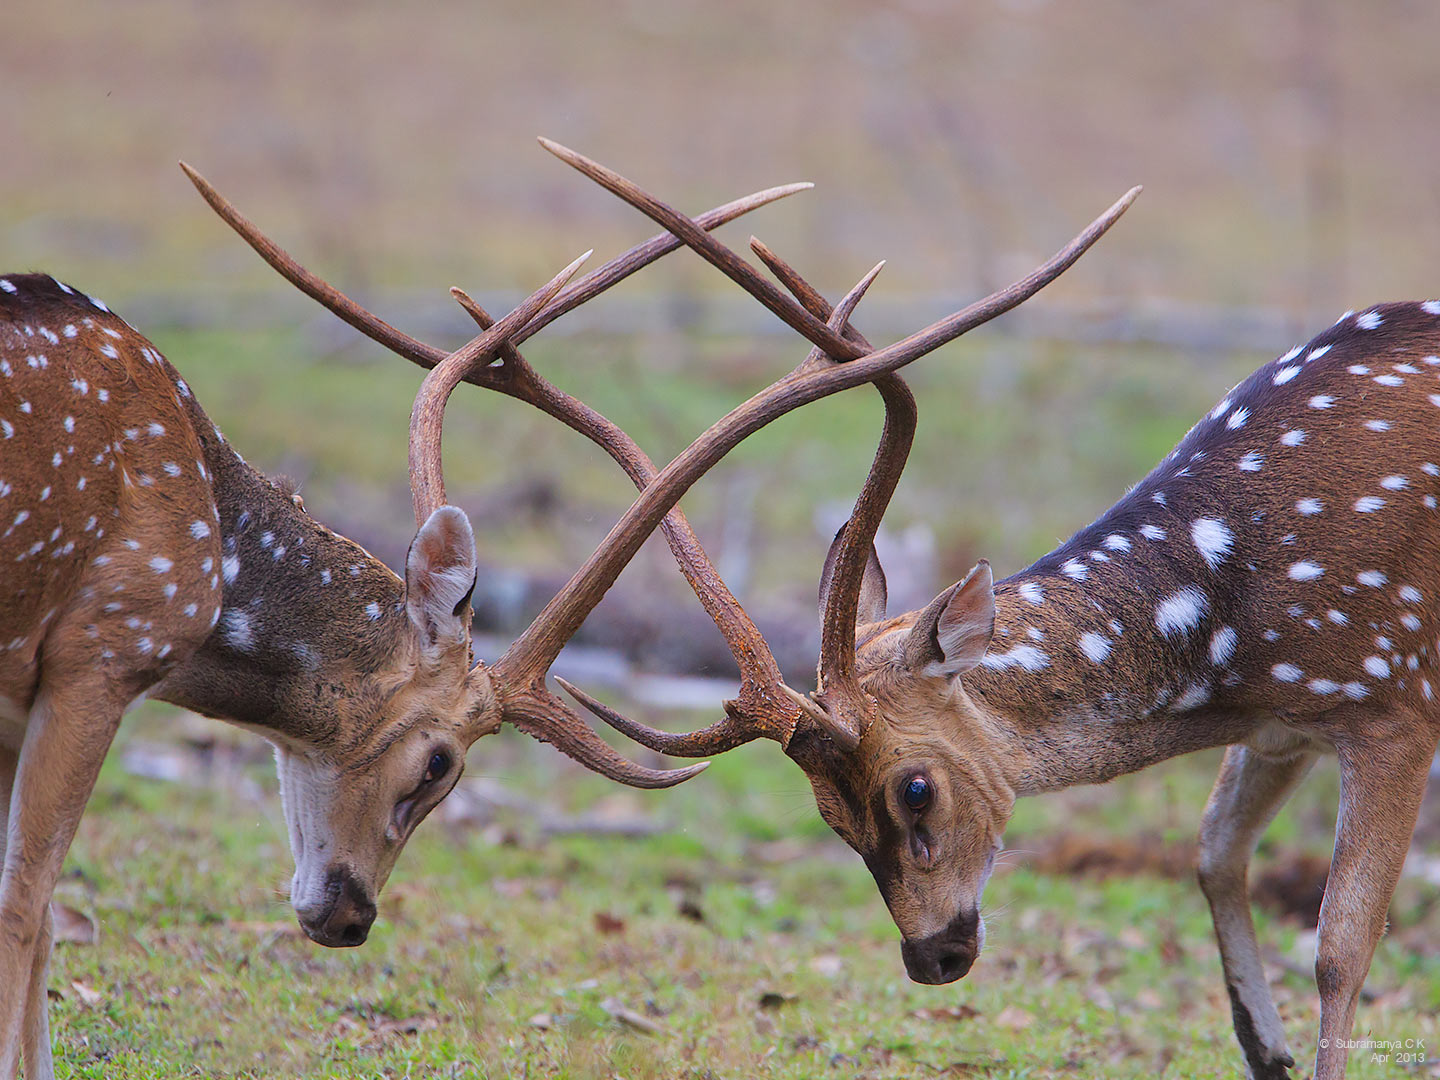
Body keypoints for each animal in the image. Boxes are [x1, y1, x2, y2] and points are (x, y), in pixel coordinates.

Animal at [0, 141, 1133, 1079]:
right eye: (440, 762)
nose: (350, 917)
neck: (205, 543)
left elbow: (39, 906)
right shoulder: (105, 644)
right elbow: (28, 900)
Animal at [536, 144, 1440, 1080]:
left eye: (917, 789)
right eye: (826, 813)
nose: (931, 957)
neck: (1239, 612)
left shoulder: (1394, 700)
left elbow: (1340, 945)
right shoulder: (1284, 723)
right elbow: (1213, 855)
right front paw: (1268, 1048)